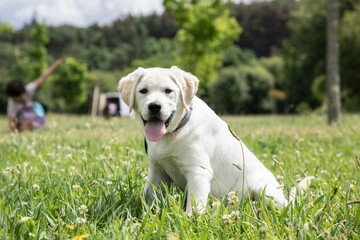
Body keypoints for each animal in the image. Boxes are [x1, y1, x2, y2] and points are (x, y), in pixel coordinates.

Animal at [119, 66, 290, 214]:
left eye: (168, 91)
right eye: (143, 91)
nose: (154, 106)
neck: (172, 133)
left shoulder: (198, 171)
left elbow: (194, 205)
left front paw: (190, 221)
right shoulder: (157, 171)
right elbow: (149, 197)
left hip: (264, 191)